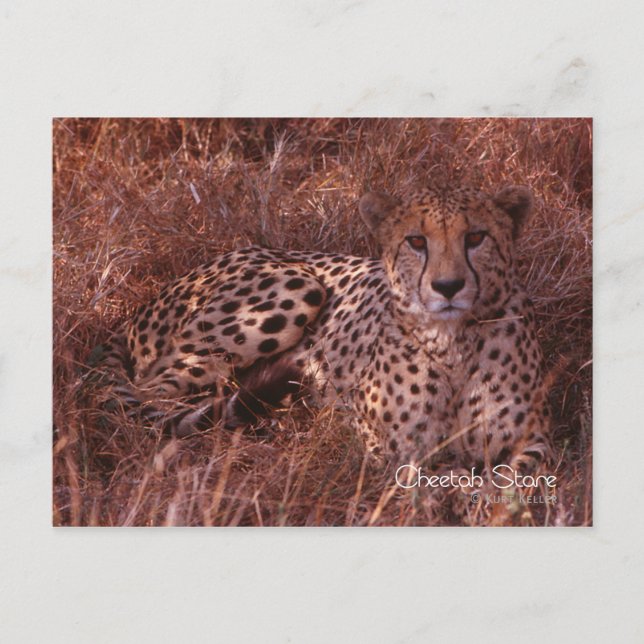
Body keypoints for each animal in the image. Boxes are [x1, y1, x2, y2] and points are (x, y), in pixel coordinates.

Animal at [98, 181, 551, 472]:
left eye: (476, 237)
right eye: (416, 241)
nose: (448, 286)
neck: (452, 342)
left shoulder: (536, 440)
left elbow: (513, 478)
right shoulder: (385, 446)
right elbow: (434, 475)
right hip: (297, 287)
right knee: (151, 396)